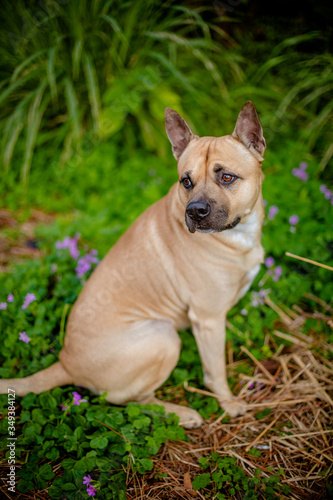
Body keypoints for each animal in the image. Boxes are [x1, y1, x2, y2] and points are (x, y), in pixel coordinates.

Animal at [0, 102, 264, 430]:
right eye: (186, 181)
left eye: (227, 177)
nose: (195, 212)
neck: (238, 234)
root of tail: (65, 363)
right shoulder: (208, 319)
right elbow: (215, 372)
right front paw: (228, 402)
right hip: (163, 336)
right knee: (132, 402)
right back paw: (182, 414)